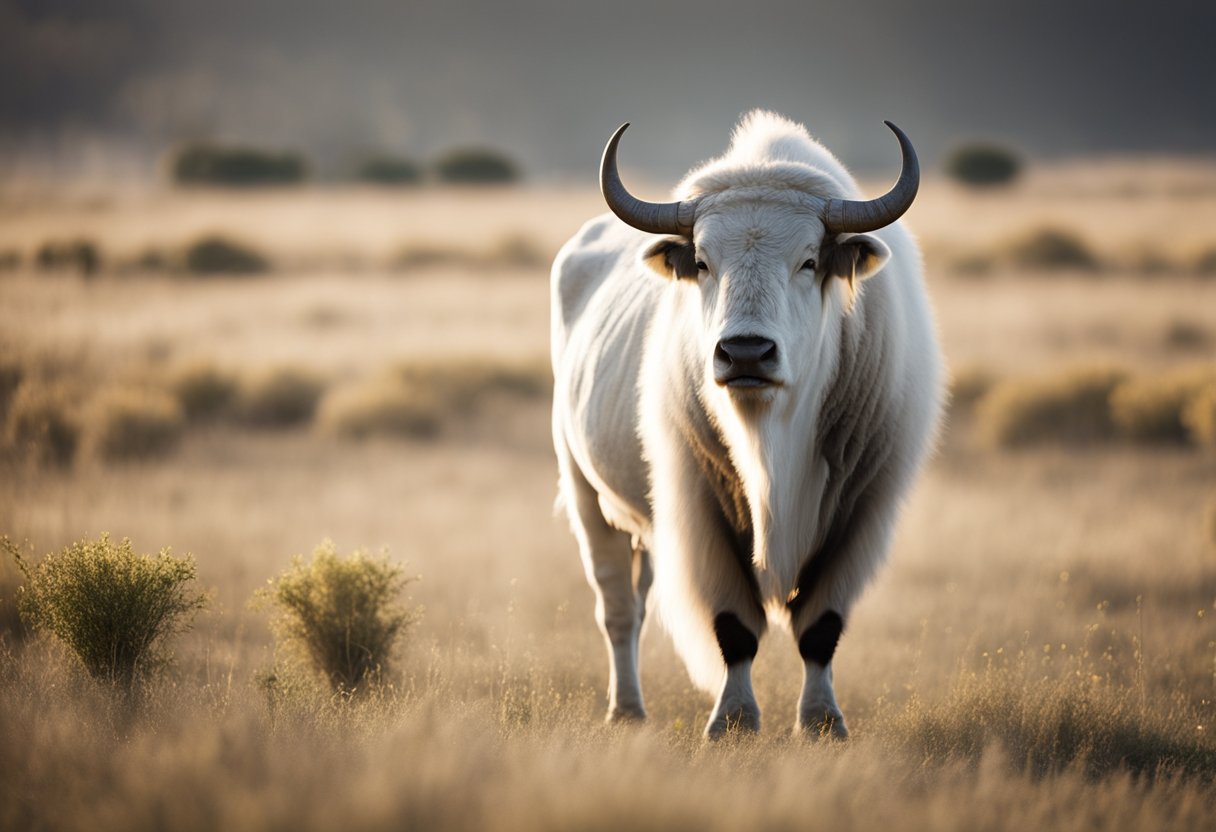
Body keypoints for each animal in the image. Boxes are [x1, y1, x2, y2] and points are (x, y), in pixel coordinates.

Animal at [554, 111, 948, 739]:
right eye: (703, 261)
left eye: (809, 260)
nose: (745, 354)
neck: (771, 438)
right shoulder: (702, 511)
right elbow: (734, 625)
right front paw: (733, 720)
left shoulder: (860, 515)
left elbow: (821, 625)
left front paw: (821, 722)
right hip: (586, 493)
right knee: (618, 607)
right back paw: (627, 709)